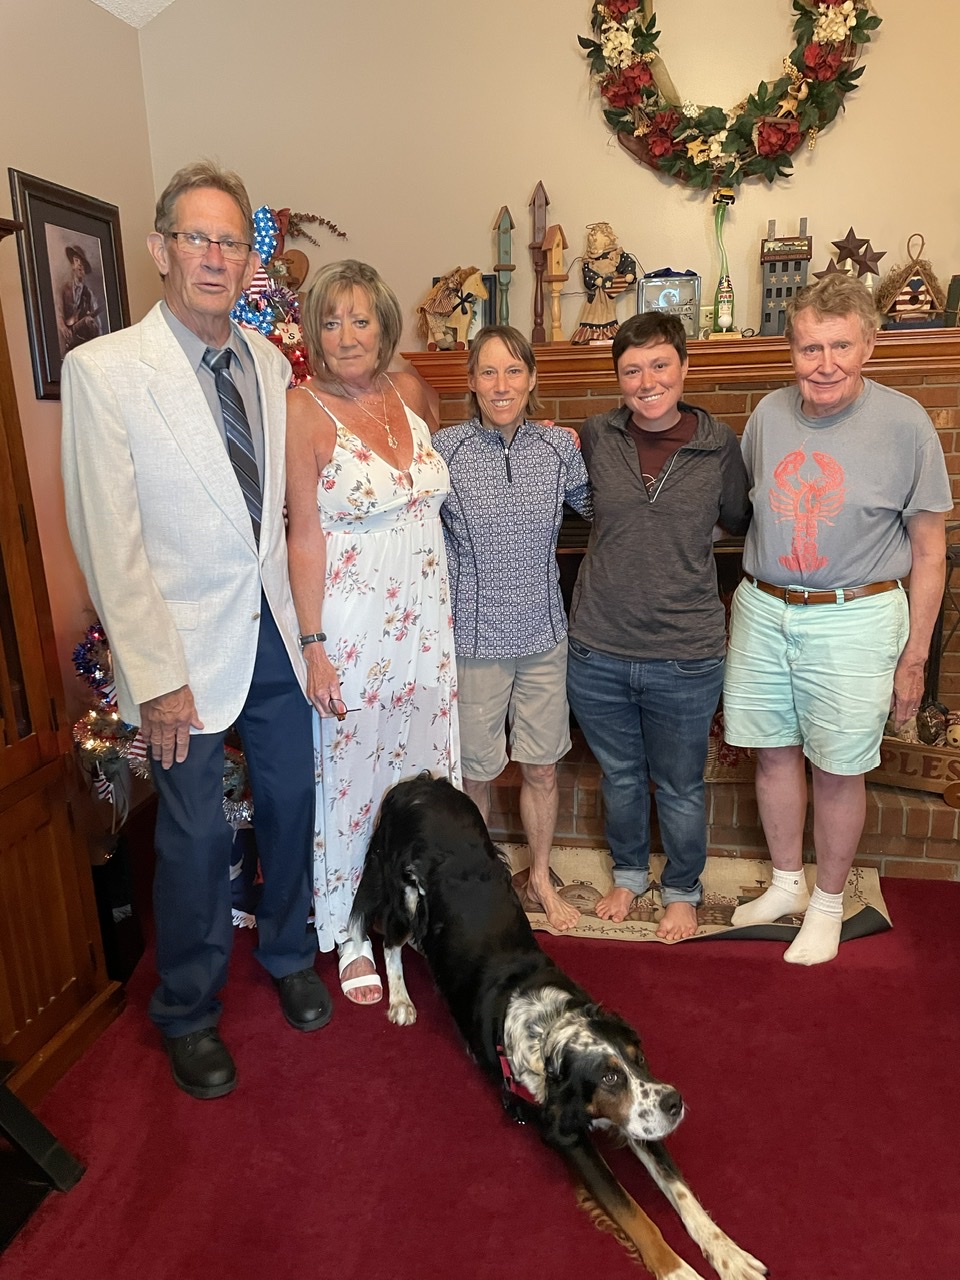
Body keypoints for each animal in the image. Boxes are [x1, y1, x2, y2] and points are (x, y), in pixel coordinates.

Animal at [350, 768, 773, 1280]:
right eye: (608, 1077)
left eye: (639, 1059)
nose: (675, 1103)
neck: (551, 1028)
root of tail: (420, 782)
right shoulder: (565, 1134)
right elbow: (635, 1213)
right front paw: (678, 1270)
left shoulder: (641, 1118)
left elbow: (682, 1191)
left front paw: (728, 1254)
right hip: (402, 890)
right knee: (389, 939)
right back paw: (401, 1000)